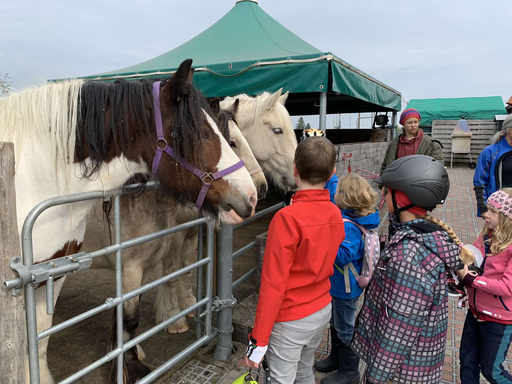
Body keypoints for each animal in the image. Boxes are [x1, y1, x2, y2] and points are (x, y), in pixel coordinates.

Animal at [0, 57, 256, 384]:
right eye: (202, 134)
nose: (252, 197)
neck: (33, 176)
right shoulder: (127, 265)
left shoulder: (54, 272)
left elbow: (44, 335)